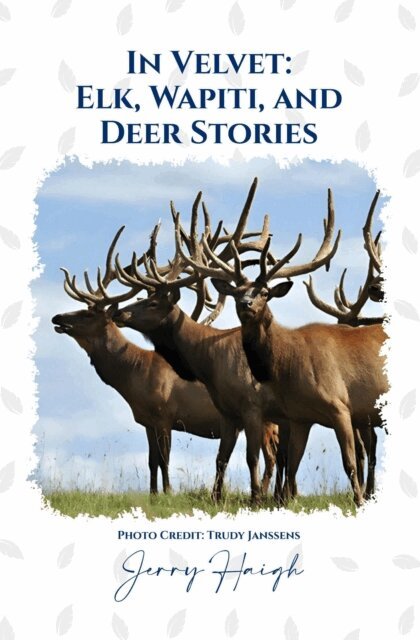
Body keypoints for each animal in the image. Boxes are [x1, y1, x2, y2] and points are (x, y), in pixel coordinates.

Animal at [51, 226, 279, 501]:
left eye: (87, 313)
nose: (57, 317)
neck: (135, 374)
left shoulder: (165, 414)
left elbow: (165, 459)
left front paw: (168, 492)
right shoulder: (148, 421)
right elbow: (152, 461)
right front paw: (153, 494)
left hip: (264, 418)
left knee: (270, 456)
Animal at [112, 180, 339, 504]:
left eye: (154, 302)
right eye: (236, 292)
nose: (118, 312)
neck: (211, 363)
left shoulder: (253, 407)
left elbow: (251, 457)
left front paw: (254, 498)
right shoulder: (228, 412)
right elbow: (222, 457)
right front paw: (216, 497)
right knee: (288, 456)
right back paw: (284, 495)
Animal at [187, 183, 388, 507]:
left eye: (265, 292)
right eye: (237, 292)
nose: (245, 304)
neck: (288, 361)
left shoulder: (340, 405)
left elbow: (349, 461)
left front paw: (357, 501)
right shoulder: (299, 416)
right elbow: (292, 464)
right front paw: (285, 500)